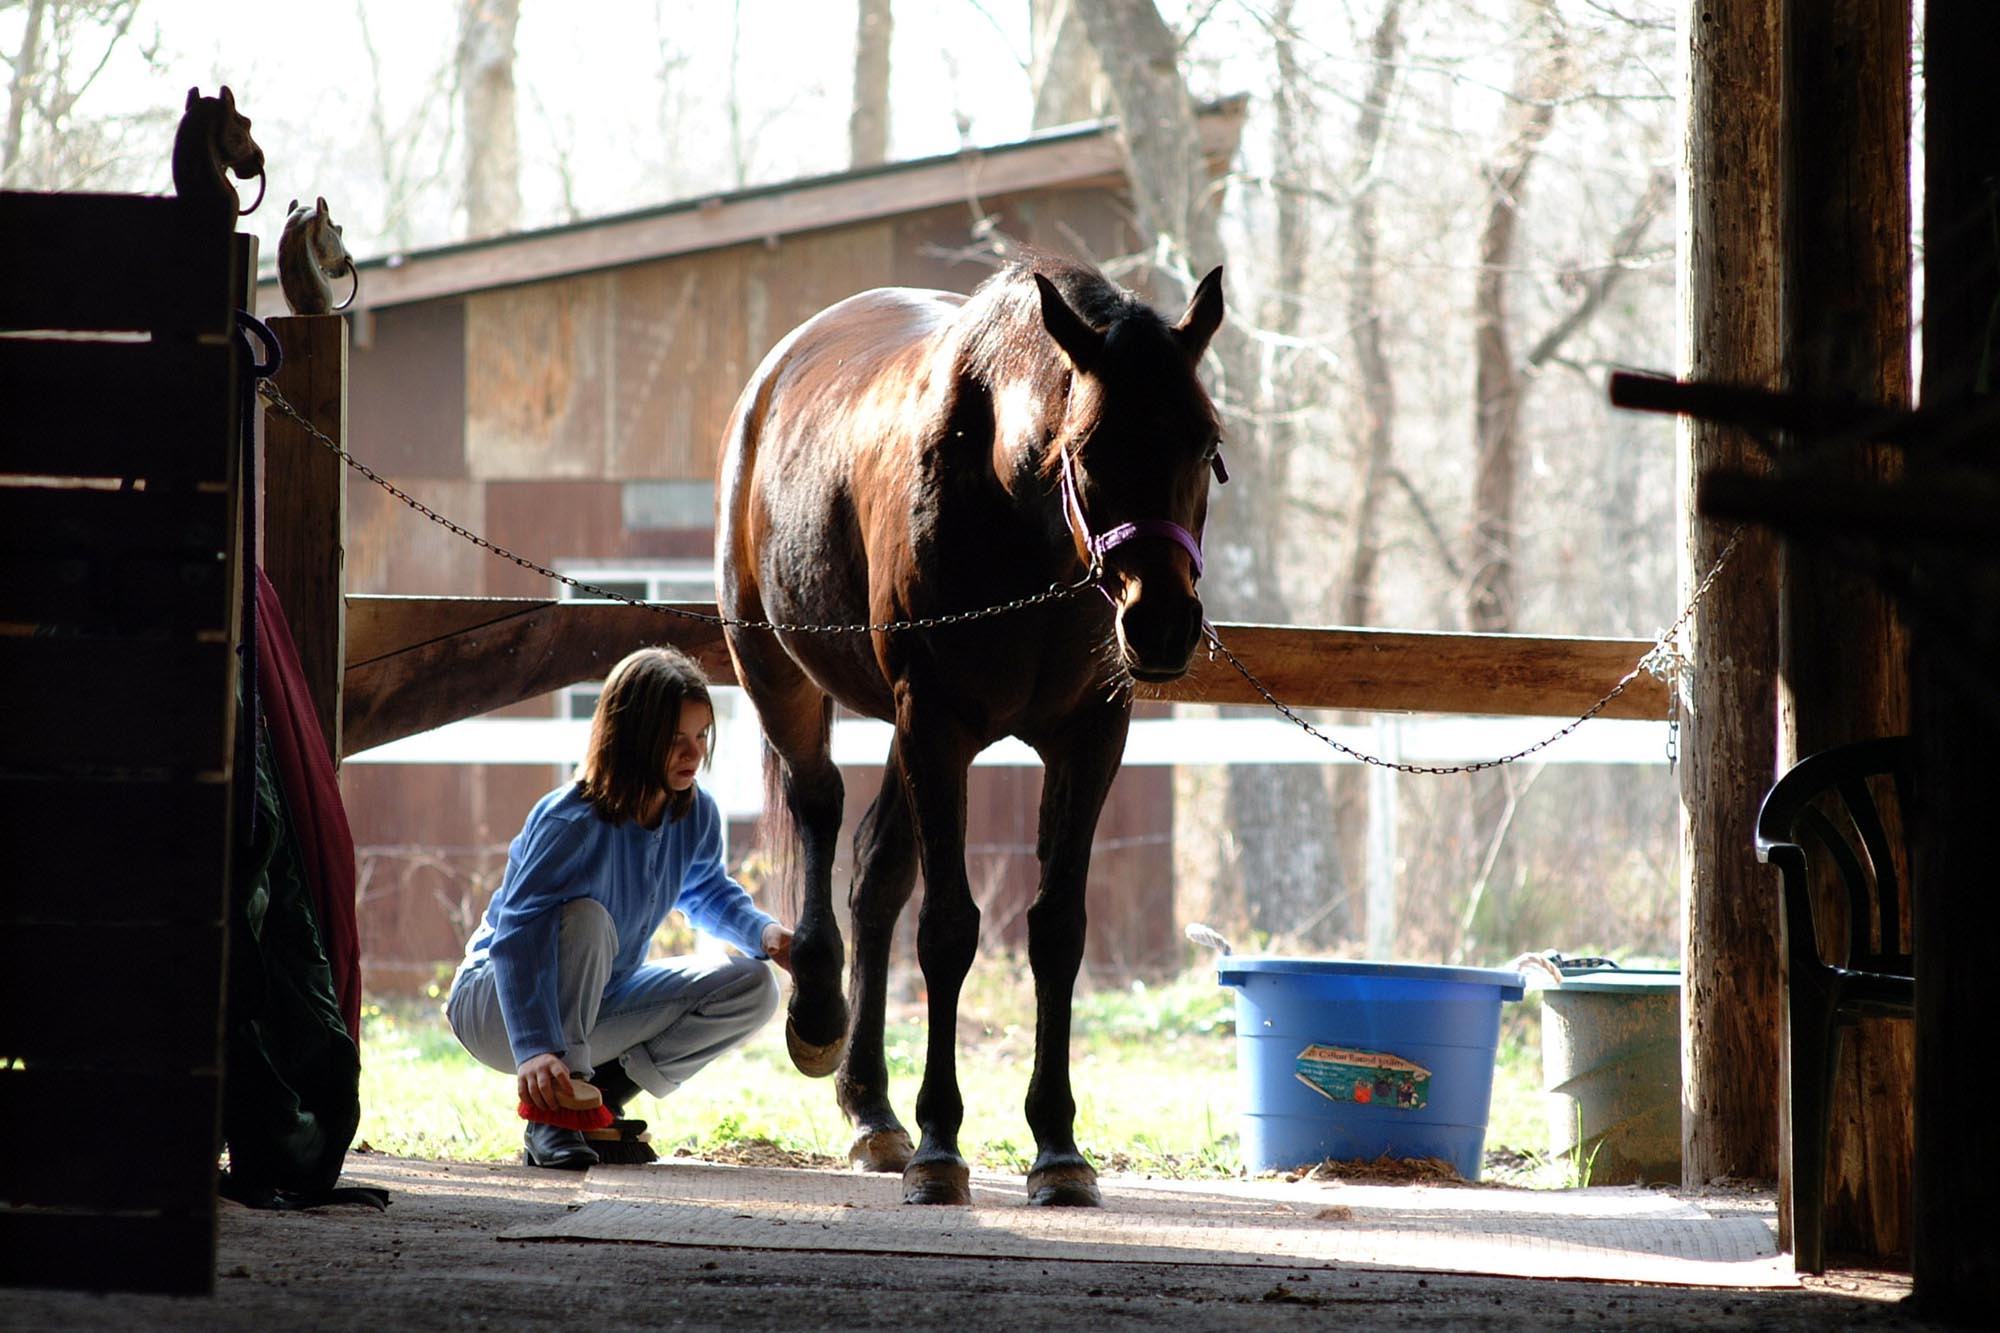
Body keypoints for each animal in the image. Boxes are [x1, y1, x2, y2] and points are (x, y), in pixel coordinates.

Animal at [717, 254, 1226, 1207]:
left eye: (1206, 442)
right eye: (1087, 448)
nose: (1163, 625)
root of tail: (774, 372)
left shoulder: (1089, 734)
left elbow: (1057, 929)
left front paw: (1057, 1146)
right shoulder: (937, 720)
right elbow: (949, 928)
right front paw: (940, 1142)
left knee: (876, 874)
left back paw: (872, 1108)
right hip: (775, 667)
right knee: (819, 805)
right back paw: (820, 1018)